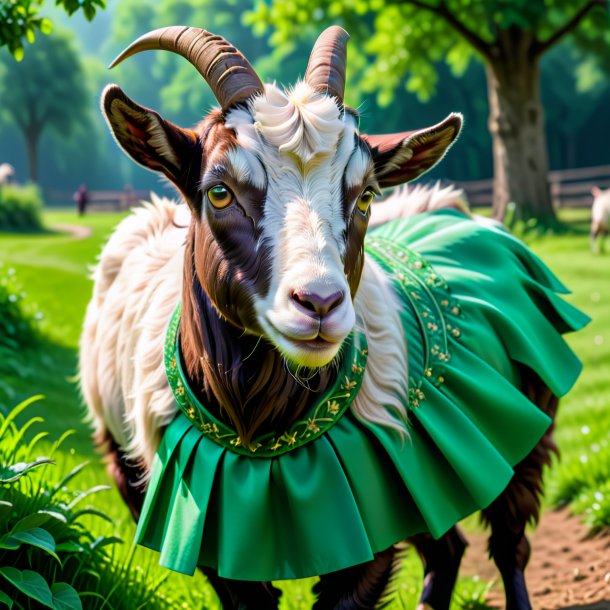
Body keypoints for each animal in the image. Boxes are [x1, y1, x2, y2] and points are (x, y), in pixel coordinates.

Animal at [81, 25, 584, 608]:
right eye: (219, 192)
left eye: (364, 196)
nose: (319, 303)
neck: (258, 425)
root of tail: (459, 213)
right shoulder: (204, 528)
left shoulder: (371, 501)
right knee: (448, 547)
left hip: (522, 423)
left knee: (508, 541)